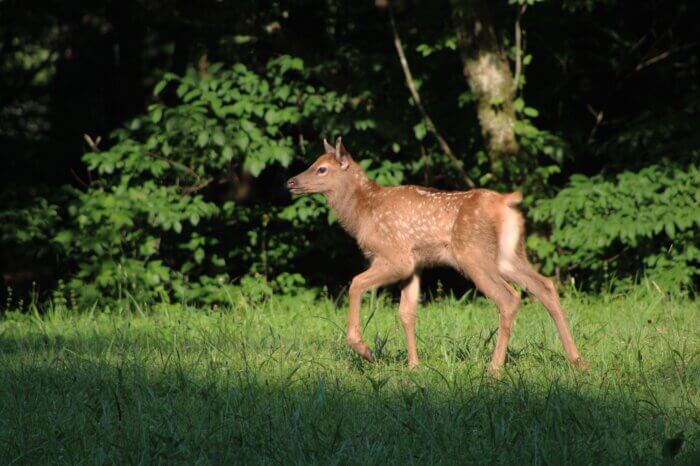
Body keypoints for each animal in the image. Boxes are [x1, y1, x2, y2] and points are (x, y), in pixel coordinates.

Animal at [288, 137, 588, 374]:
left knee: (509, 297)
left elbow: (356, 283)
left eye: (322, 168)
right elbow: (406, 313)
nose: (291, 181)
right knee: (545, 285)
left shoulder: (395, 256)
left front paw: (363, 348)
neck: (363, 213)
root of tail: (505, 202)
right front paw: (414, 365)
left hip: (473, 254)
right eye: (314, 162)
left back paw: (494, 368)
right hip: (509, 254)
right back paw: (577, 361)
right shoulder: (414, 266)